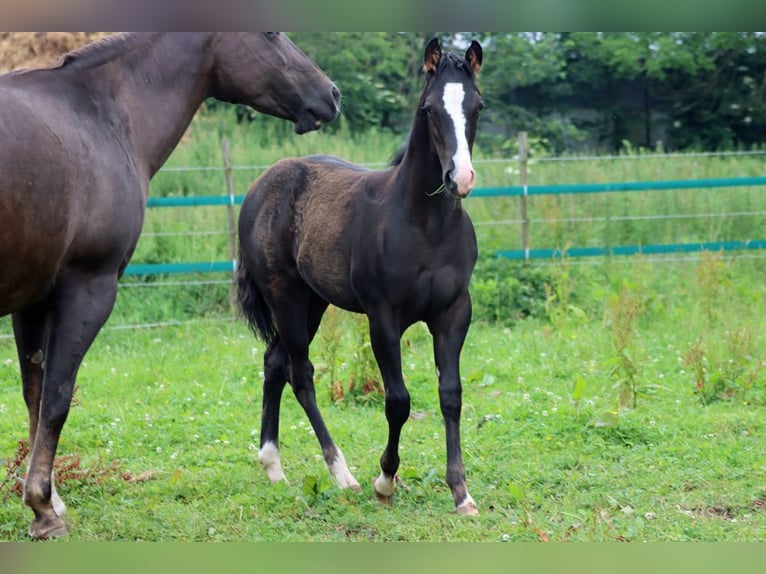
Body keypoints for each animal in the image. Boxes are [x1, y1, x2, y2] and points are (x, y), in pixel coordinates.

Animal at [0, 32, 340, 539]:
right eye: (270, 34)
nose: (331, 94)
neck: (101, 115)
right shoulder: (88, 291)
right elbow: (59, 398)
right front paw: (43, 509)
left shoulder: (33, 302)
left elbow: (36, 397)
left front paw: (50, 499)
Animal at [237, 38, 483, 515]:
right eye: (429, 109)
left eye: (477, 106)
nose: (459, 178)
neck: (425, 224)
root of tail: (260, 186)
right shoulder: (382, 318)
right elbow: (398, 401)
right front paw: (385, 481)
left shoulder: (453, 314)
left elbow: (451, 395)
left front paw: (461, 492)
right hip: (285, 297)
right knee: (300, 373)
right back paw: (342, 473)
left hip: (313, 301)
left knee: (274, 363)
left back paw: (273, 467)